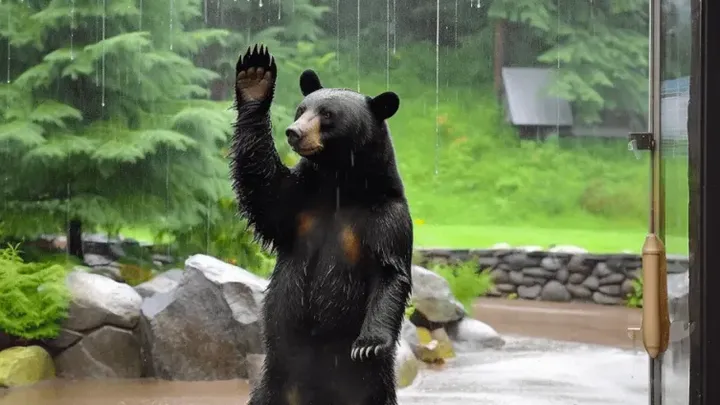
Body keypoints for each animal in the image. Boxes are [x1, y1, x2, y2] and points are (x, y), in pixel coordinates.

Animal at [231, 44, 413, 405]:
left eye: (327, 114)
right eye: (302, 109)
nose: (294, 132)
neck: (339, 185)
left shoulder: (386, 216)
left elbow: (390, 270)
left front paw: (368, 343)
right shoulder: (302, 203)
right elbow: (265, 191)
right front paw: (255, 76)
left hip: (370, 390)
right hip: (274, 384)